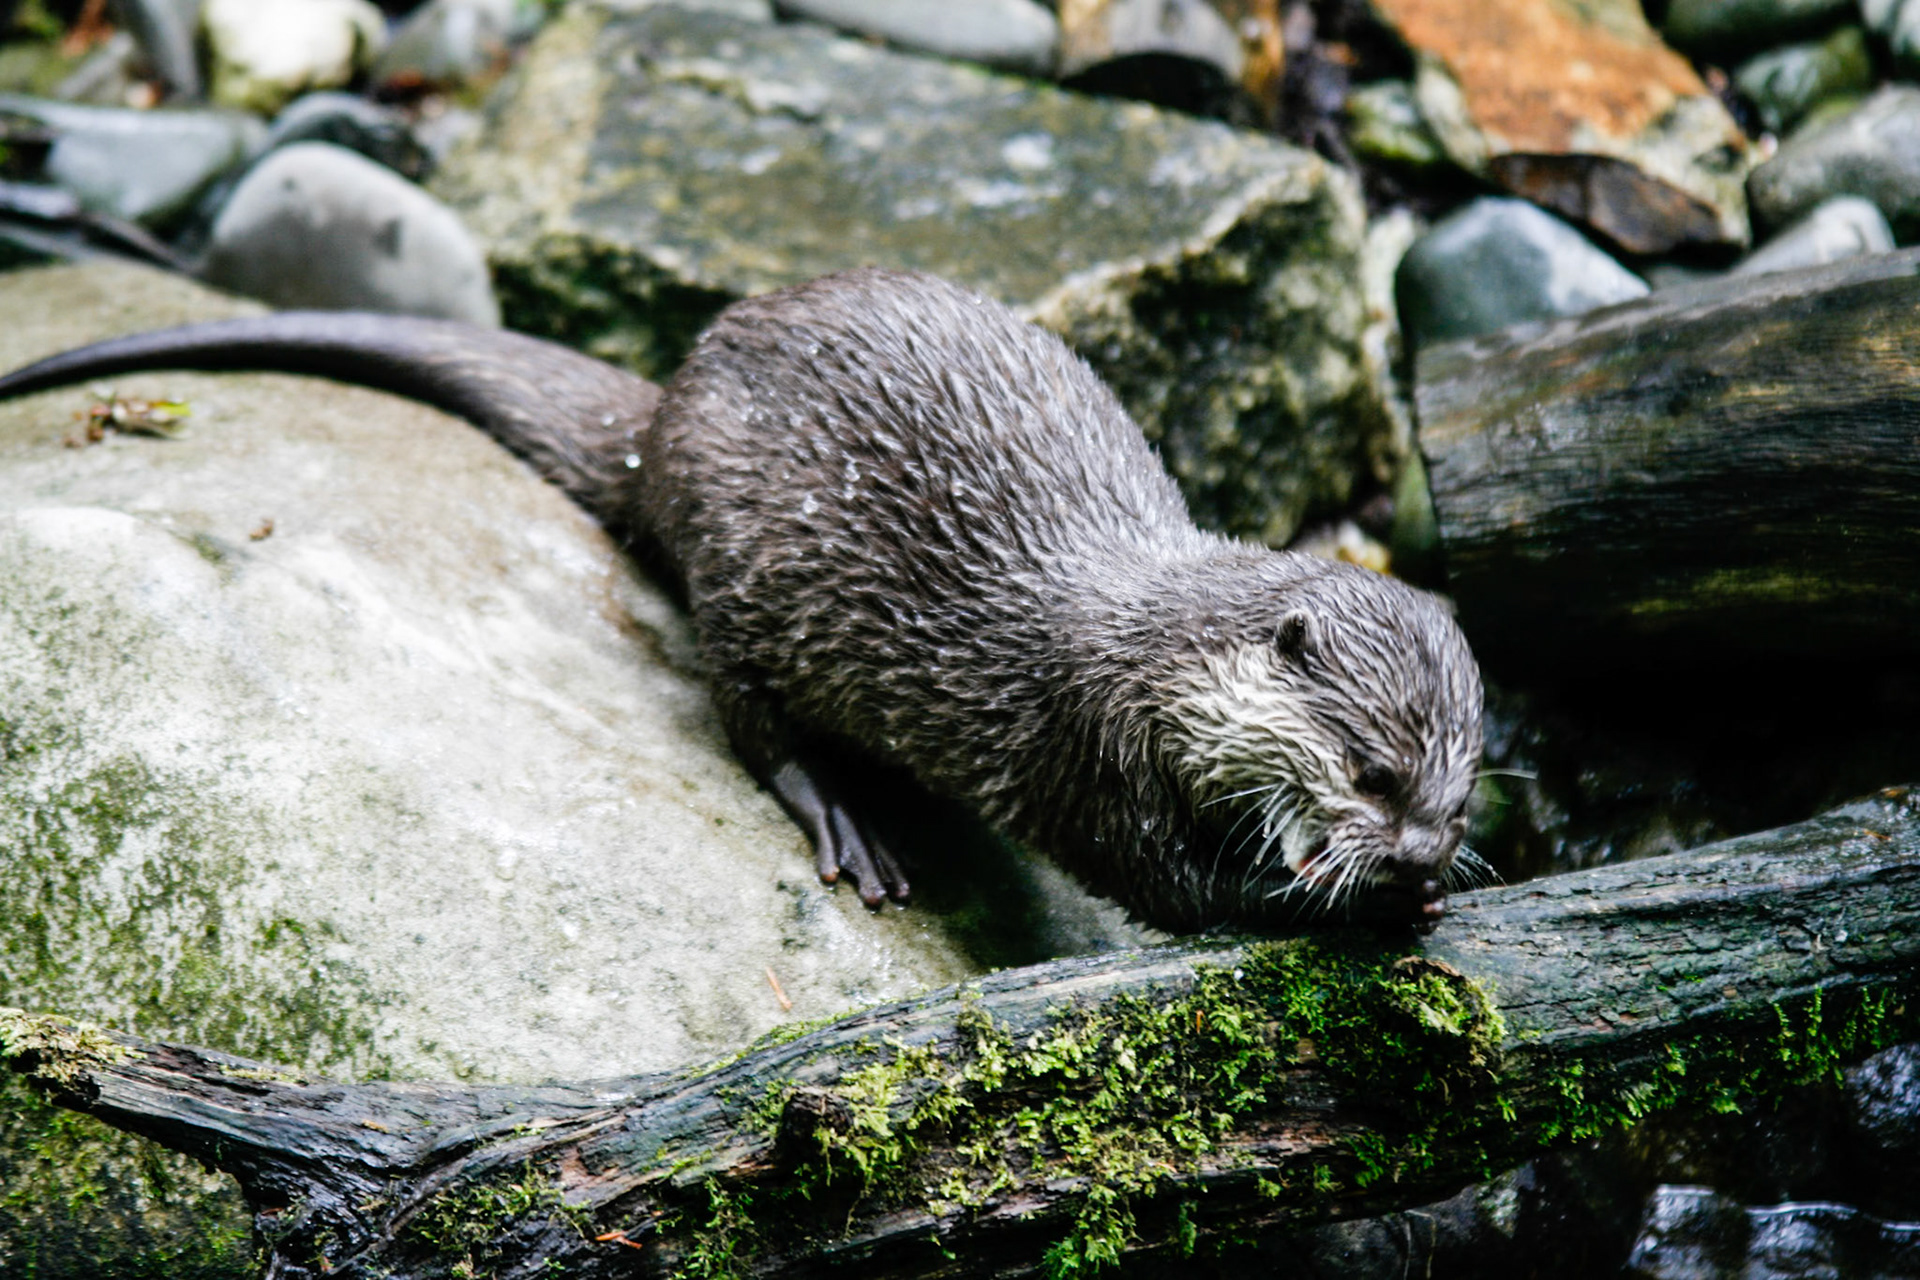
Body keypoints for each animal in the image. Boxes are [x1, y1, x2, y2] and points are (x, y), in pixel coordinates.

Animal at [0, 269, 1483, 932]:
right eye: (1369, 770)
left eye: (1458, 794)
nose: (1420, 851)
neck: (1153, 645)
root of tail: (668, 407)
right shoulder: (1086, 745)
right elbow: (1164, 883)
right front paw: (1346, 901)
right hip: (743, 567)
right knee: (743, 709)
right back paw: (844, 817)